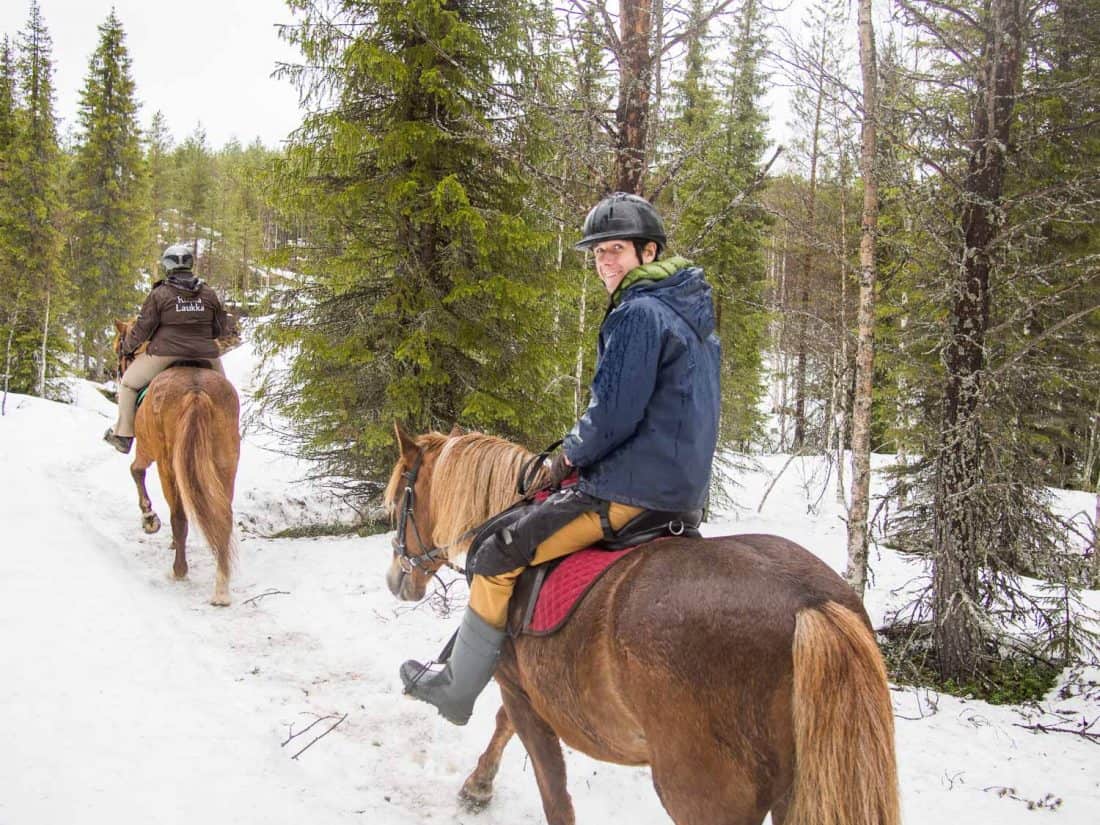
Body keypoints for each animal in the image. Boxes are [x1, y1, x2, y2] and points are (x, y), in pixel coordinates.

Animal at [111, 323, 240, 607]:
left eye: (120, 347)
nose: (116, 371)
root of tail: (196, 391)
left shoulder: (146, 450)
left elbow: (136, 471)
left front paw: (150, 519)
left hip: (168, 466)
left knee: (179, 516)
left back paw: (178, 570)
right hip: (225, 464)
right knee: (223, 515)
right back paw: (221, 588)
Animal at [382, 429, 897, 822]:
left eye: (401, 502)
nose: (395, 578)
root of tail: (810, 604)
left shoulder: (518, 688)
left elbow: (550, 789)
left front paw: (477, 782)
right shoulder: (529, 686)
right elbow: (505, 726)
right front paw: (478, 786)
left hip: (702, 793)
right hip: (795, 792)